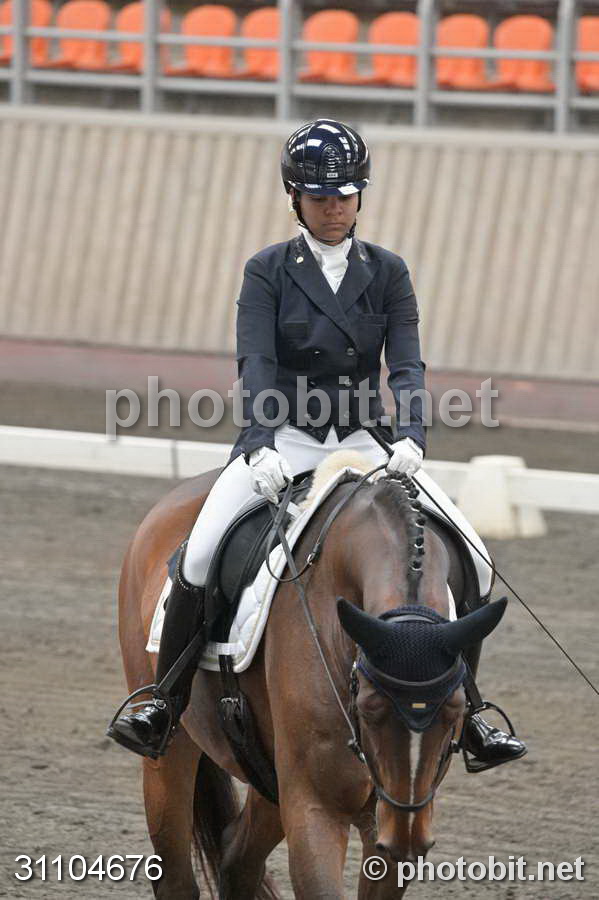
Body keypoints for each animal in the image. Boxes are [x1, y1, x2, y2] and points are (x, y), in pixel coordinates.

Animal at [116, 452, 506, 899]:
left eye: (456, 710)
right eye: (369, 708)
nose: (405, 839)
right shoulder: (316, 805)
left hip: (268, 774)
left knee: (236, 858)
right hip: (173, 753)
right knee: (178, 877)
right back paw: (150, 719)